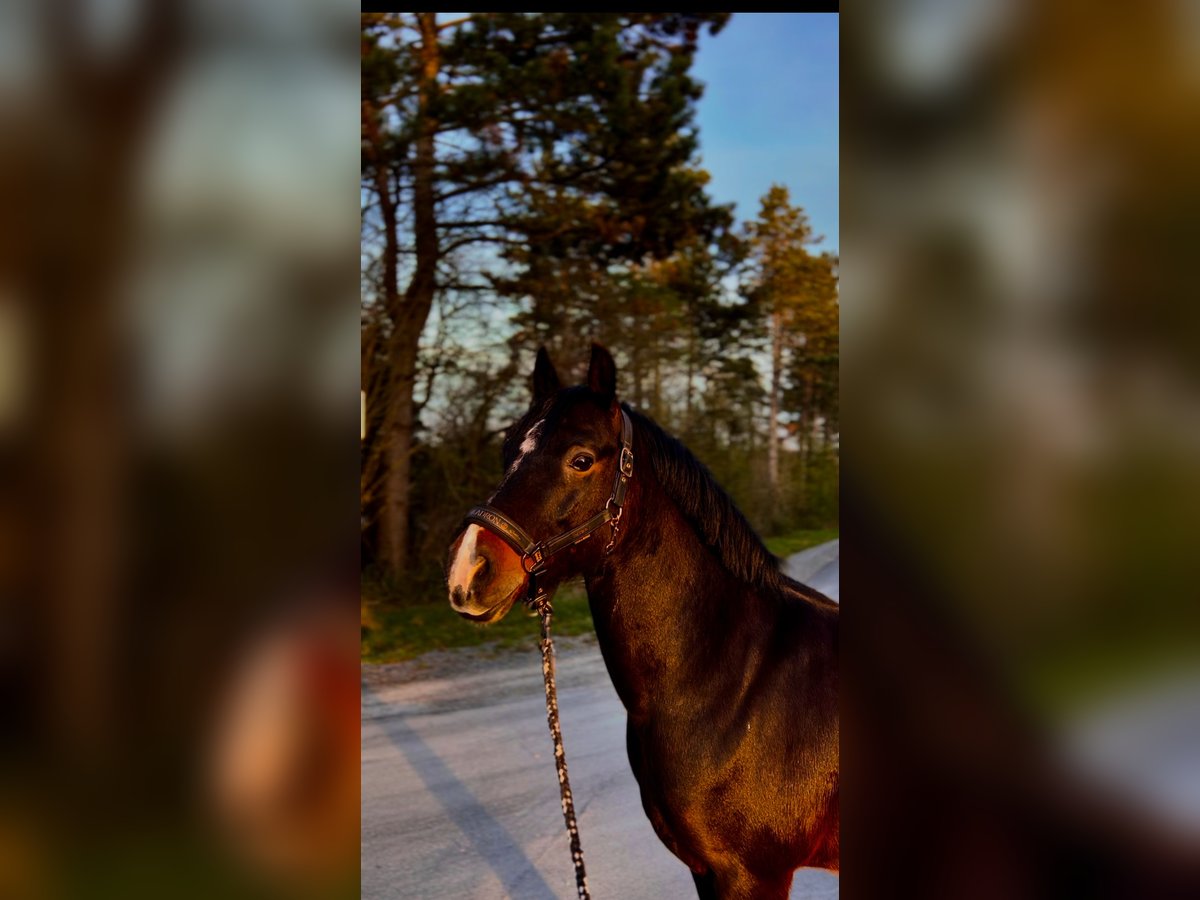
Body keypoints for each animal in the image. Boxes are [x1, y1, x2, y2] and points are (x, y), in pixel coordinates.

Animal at [446, 345, 840, 900]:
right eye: (507, 449)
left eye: (581, 459)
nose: (468, 569)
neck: (732, 684)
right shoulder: (706, 871)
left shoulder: (752, 876)